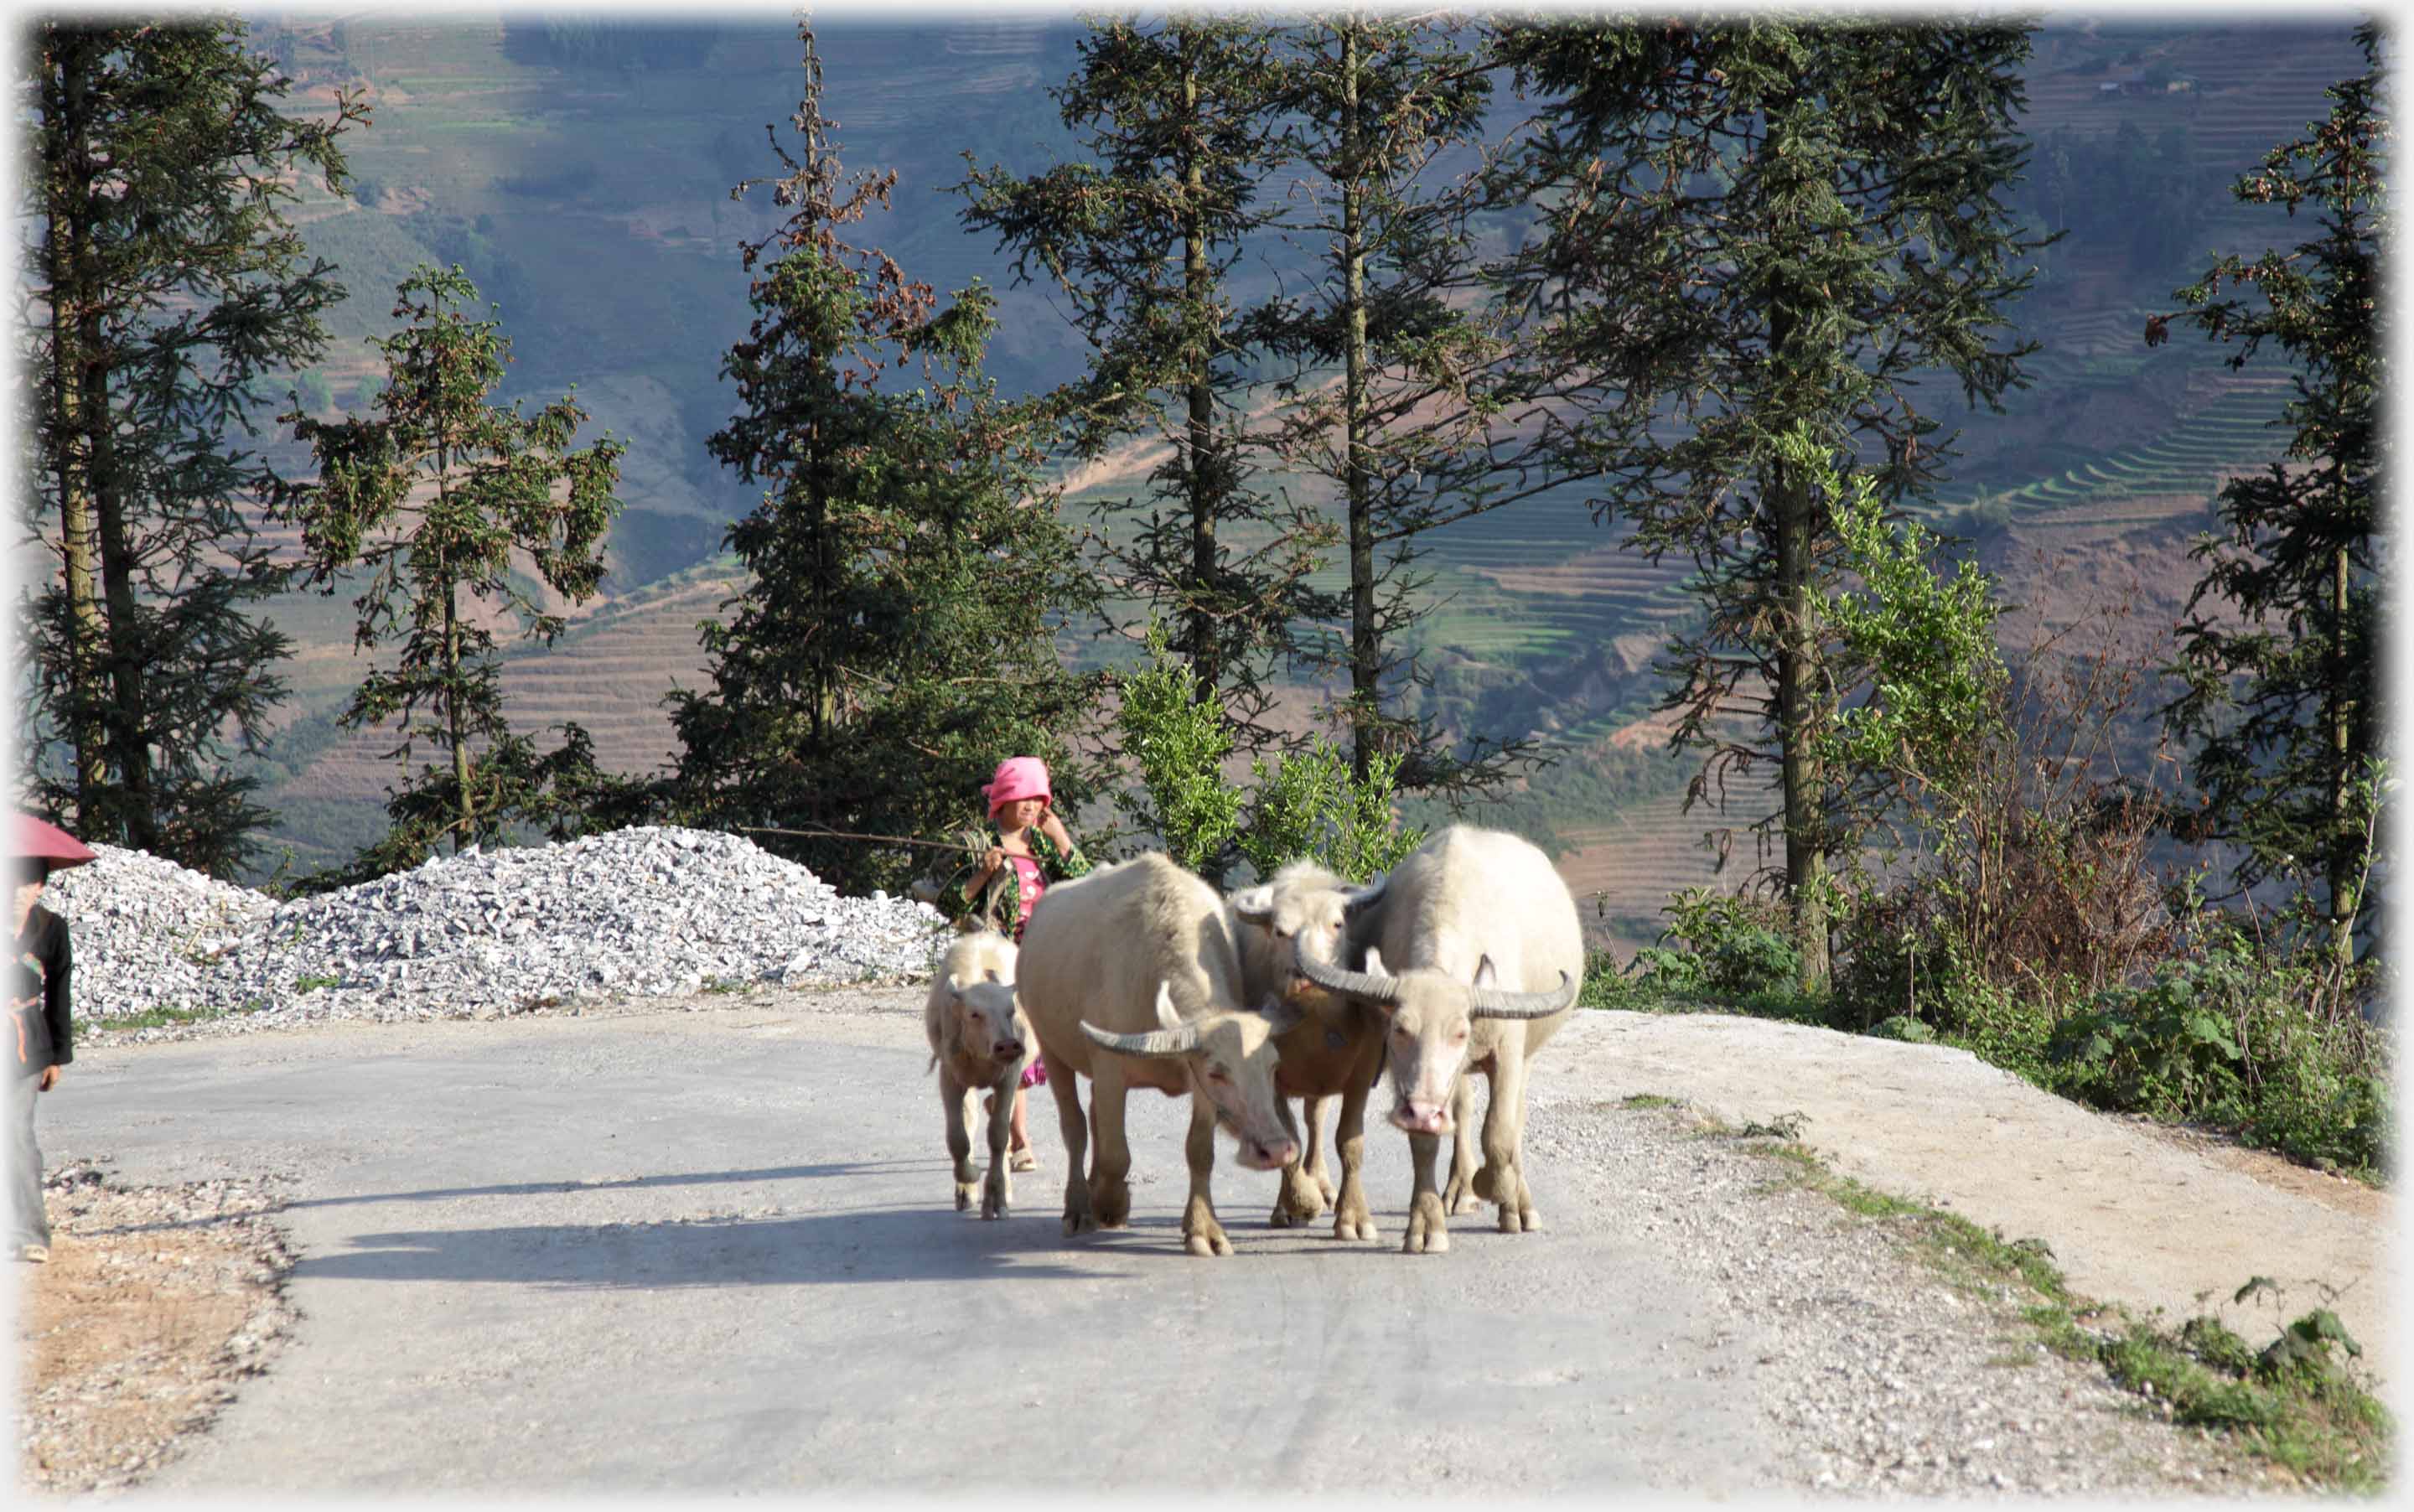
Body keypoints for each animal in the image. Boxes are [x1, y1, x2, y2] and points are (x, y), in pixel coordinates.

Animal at [922, 931, 1030, 1219]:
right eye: (974, 1014)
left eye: (1010, 1011)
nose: (1008, 1045)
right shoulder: (950, 1078)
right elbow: (958, 1138)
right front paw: (969, 1177)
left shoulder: (1010, 1076)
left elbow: (998, 1136)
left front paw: (996, 1198)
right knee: (970, 1118)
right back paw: (965, 1191)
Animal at [1016, 853, 1306, 1257]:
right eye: (1218, 1072)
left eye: (1273, 1066)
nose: (1277, 1150)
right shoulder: (1111, 1070)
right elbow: (1116, 1153)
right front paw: (1109, 1205)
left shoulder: (1195, 1080)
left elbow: (1199, 1151)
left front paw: (1202, 1229)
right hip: (1051, 1049)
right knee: (1075, 1127)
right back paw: (1078, 1208)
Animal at [1292, 825, 1583, 1254]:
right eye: (1400, 1029)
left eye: (1460, 1031)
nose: (1424, 1111)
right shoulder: (1410, 1082)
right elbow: (1426, 1144)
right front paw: (1427, 1226)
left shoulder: (1508, 1052)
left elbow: (1499, 1132)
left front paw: (1496, 1189)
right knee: (1461, 1109)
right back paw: (1459, 1190)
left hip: (1525, 1056)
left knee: (1514, 1120)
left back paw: (1517, 1205)